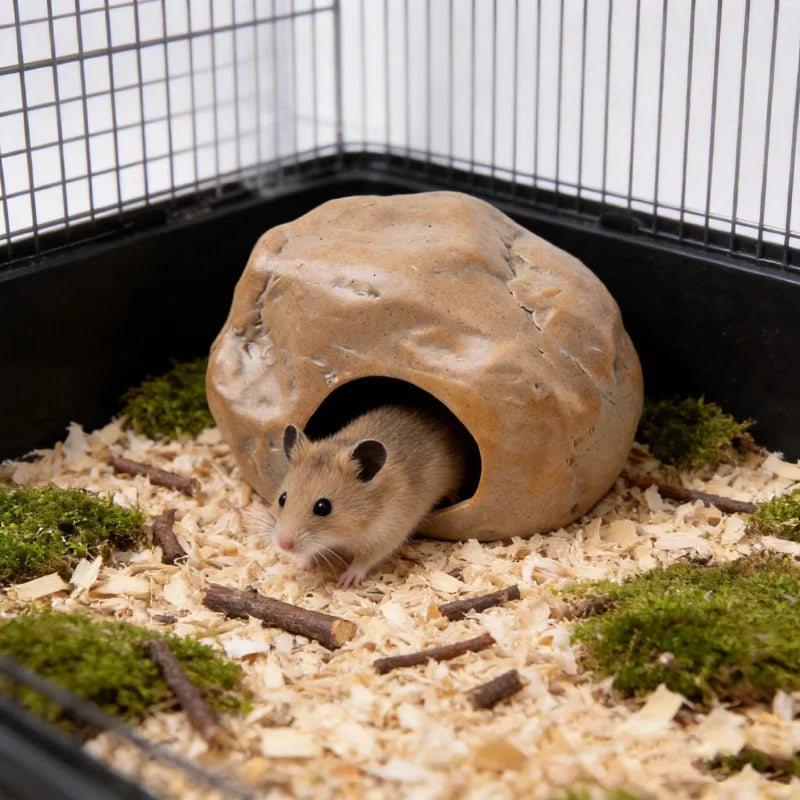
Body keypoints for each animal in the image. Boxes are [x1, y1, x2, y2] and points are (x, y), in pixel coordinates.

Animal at [266, 405, 467, 587]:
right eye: (282, 498)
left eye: (323, 507)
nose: (283, 545)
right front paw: (301, 566)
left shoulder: (388, 533)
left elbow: (364, 560)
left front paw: (345, 581)